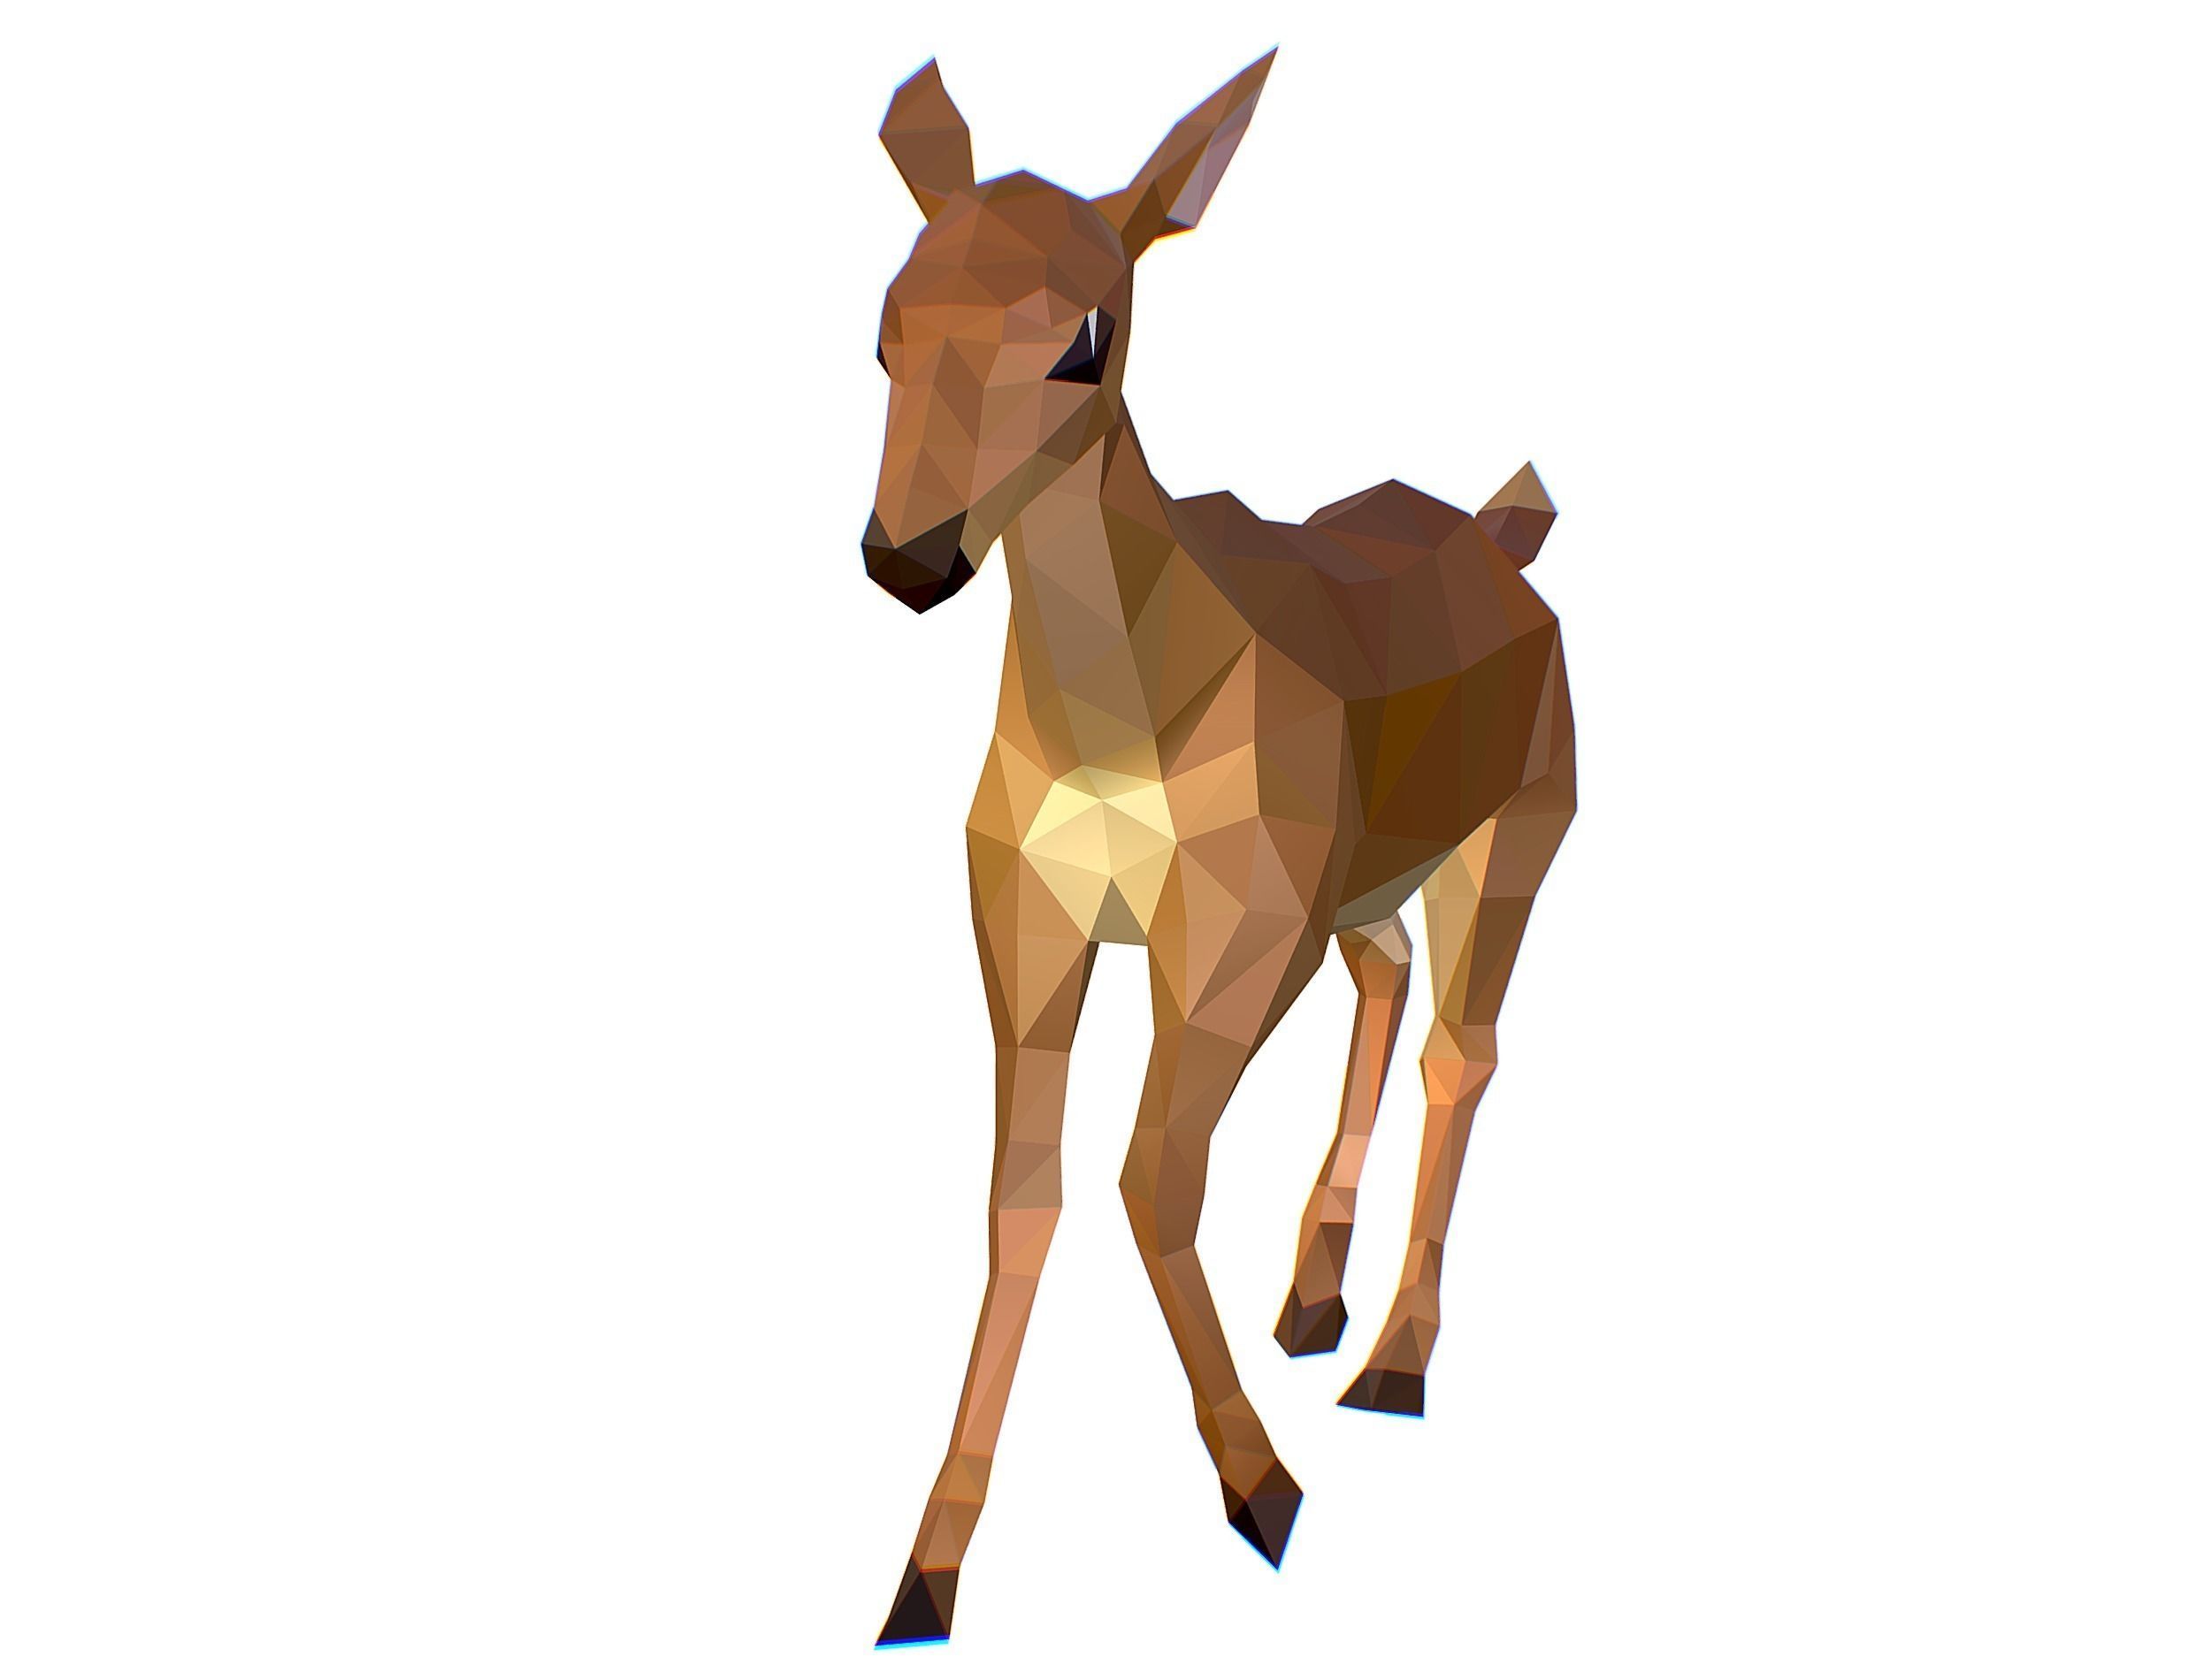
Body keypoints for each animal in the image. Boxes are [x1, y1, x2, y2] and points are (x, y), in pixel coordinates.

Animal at [862, 51, 1577, 1646]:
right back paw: (1311, 1296)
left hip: (1510, 844)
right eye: (889, 319)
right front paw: (927, 1568)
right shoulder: (1034, 926)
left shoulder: (1234, 939)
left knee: (1464, 1048)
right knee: (1386, 981)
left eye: (1086, 334)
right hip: (1363, 882)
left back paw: (1393, 1362)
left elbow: (1151, 1179)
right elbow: (1022, 1197)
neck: (1119, 724)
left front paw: (1265, 1490)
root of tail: (1510, 538)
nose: (907, 558)